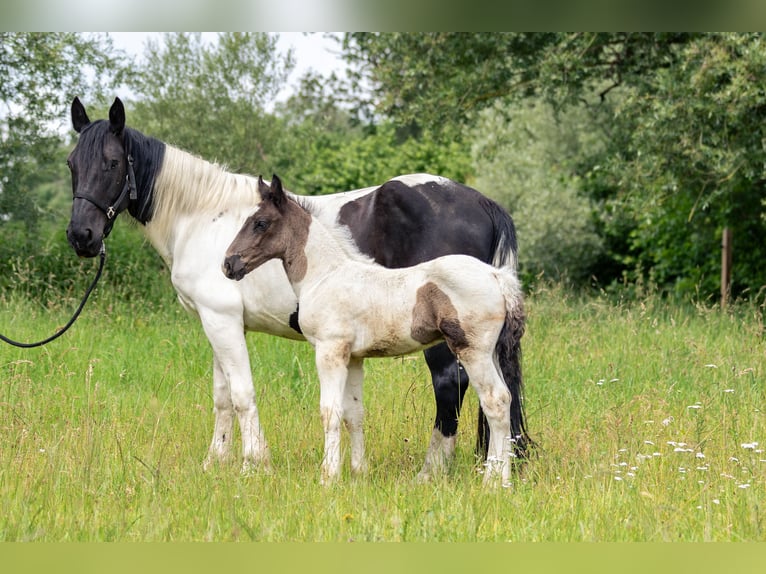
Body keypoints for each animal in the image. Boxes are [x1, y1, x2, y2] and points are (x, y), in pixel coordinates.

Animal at [66, 98, 532, 482]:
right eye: (72, 163)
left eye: (111, 162)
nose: (81, 236)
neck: (200, 216)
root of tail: (485, 203)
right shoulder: (217, 323)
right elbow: (222, 397)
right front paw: (215, 463)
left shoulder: (222, 320)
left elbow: (242, 395)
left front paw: (254, 464)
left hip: (450, 344)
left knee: (453, 389)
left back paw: (433, 472)